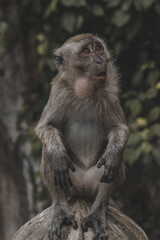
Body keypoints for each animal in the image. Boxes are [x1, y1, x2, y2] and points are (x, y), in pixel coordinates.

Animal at [35, 34, 129, 240]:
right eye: (86, 51)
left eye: (98, 48)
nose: (100, 60)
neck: (85, 91)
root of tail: (82, 192)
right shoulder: (59, 91)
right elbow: (45, 127)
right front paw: (57, 154)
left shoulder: (111, 93)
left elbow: (120, 130)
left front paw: (113, 153)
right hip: (71, 180)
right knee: (50, 154)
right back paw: (60, 207)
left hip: (95, 180)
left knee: (113, 163)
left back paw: (98, 210)